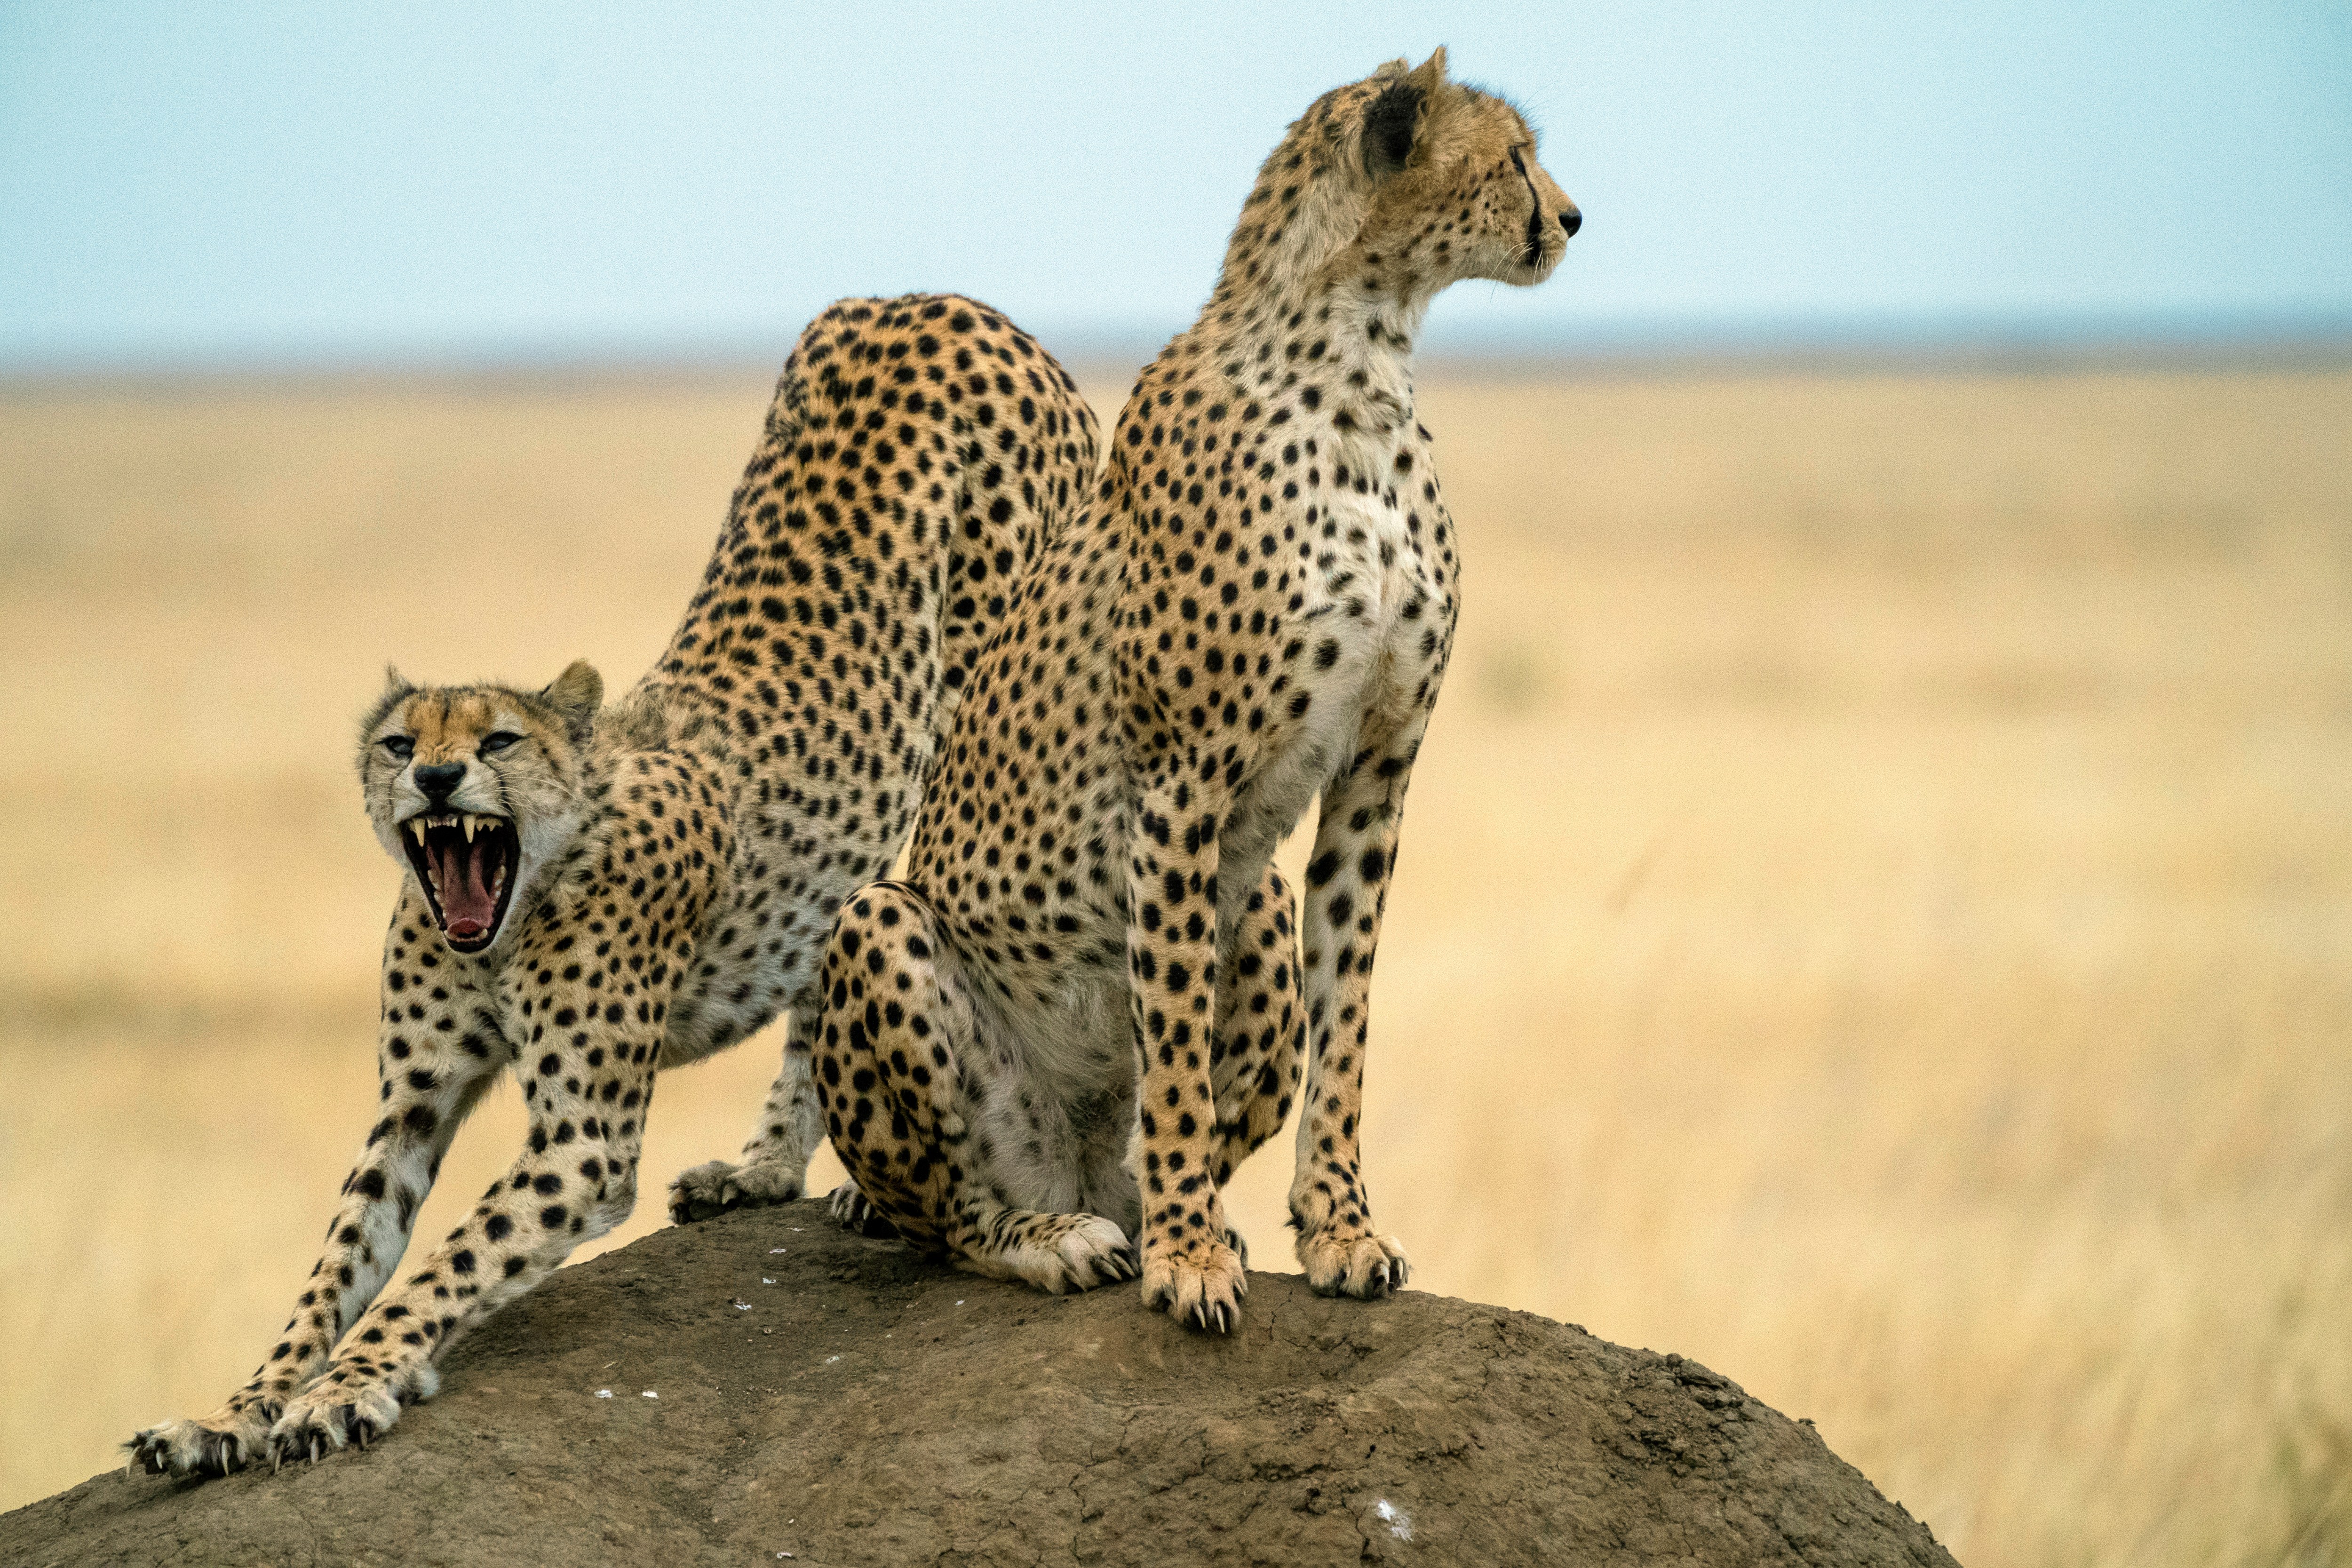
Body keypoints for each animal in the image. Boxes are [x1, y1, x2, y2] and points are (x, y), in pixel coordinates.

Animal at [133, 297, 1105, 1486]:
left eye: (499, 740)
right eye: (401, 741)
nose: (437, 778)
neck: (506, 919)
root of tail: (929, 299)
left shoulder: (580, 1142)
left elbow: (445, 1267)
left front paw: (348, 1388)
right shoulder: (406, 1110)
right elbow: (334, 1271)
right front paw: (233, 1411)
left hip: (986, 716)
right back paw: (765, 1168)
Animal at [814, 43, 1581, 1335]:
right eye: (1513, 158)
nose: (1572, 217)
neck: (1364, 367)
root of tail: (1074, 1166)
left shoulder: (1377, 772)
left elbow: (1345, 1022)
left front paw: (1338, 1230)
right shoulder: (1180, 785)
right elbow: (1171, 1040)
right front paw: (1185, 1260)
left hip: (1257, 906)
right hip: (885, 930)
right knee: (949, 1215)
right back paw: (1064, 1238)